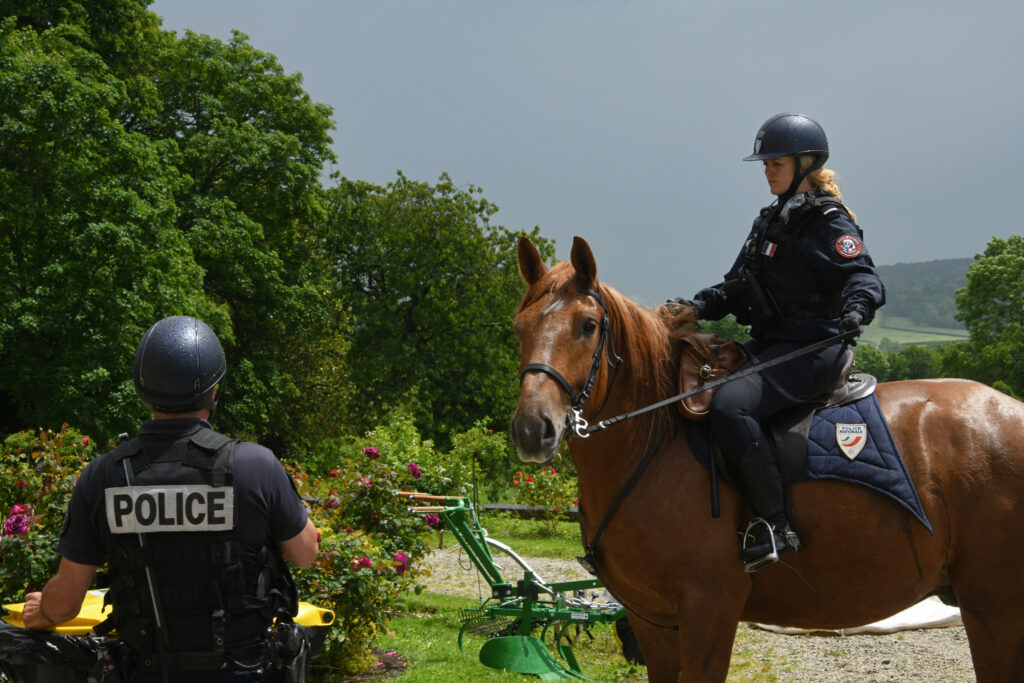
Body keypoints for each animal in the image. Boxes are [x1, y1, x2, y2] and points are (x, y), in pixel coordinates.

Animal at [512, 236, 1024, 683]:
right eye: (520, 327)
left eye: (587, 326)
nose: (532, 429)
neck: (653, 440)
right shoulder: (651, 621)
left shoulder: (709, 607)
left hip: (993, 608)